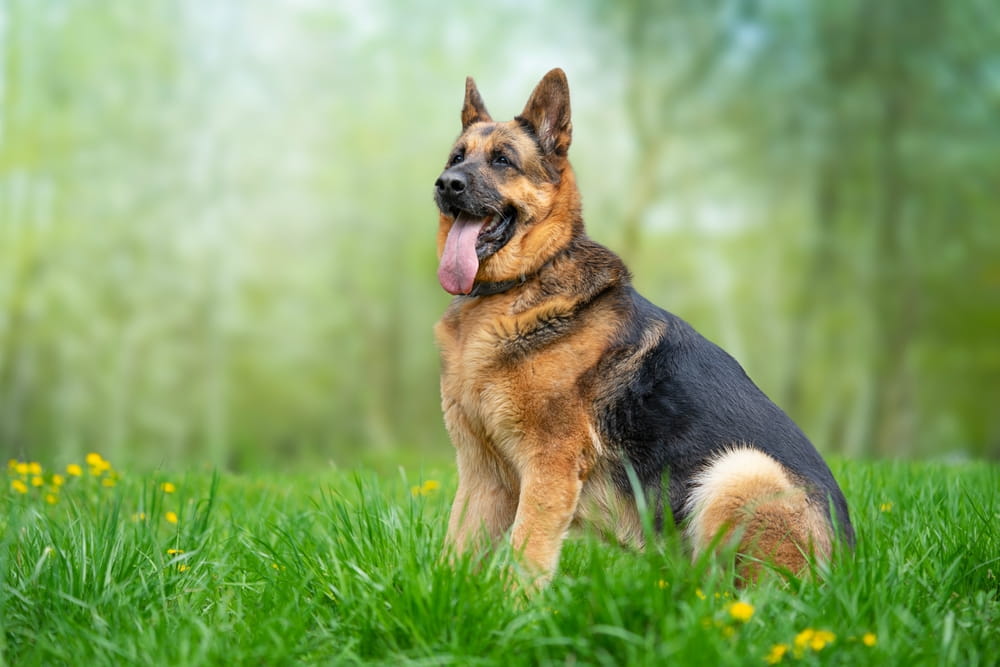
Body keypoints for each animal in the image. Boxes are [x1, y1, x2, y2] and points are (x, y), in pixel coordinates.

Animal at [430, 69, 852, 588]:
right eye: (456, 158)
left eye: (503, 160)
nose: (446, 184)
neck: (518, 285)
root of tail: (848, 564)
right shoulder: (482, 475)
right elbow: (454, 556)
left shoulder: (548, 468)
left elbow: (525, 557)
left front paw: (514, 608)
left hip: (739, 470)